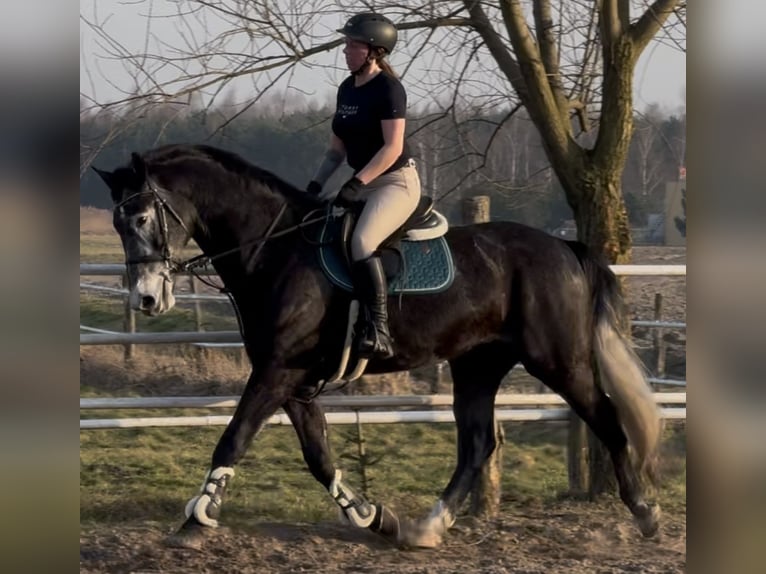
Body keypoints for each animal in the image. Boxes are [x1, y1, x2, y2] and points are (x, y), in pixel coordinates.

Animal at [93, 143, 664, 548]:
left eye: (141, 217)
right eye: (117, 222)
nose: (147, 298)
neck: (274, 248)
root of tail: (564, 247)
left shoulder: (277, 372)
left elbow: (233, 438)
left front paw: (196, 519)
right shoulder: (292, 381)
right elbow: (319, 456)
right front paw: (372, 516)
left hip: (559, 361)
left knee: (607, 420)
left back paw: (646, 513)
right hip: (477, 365)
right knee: (477, 443)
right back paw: (425, 529)